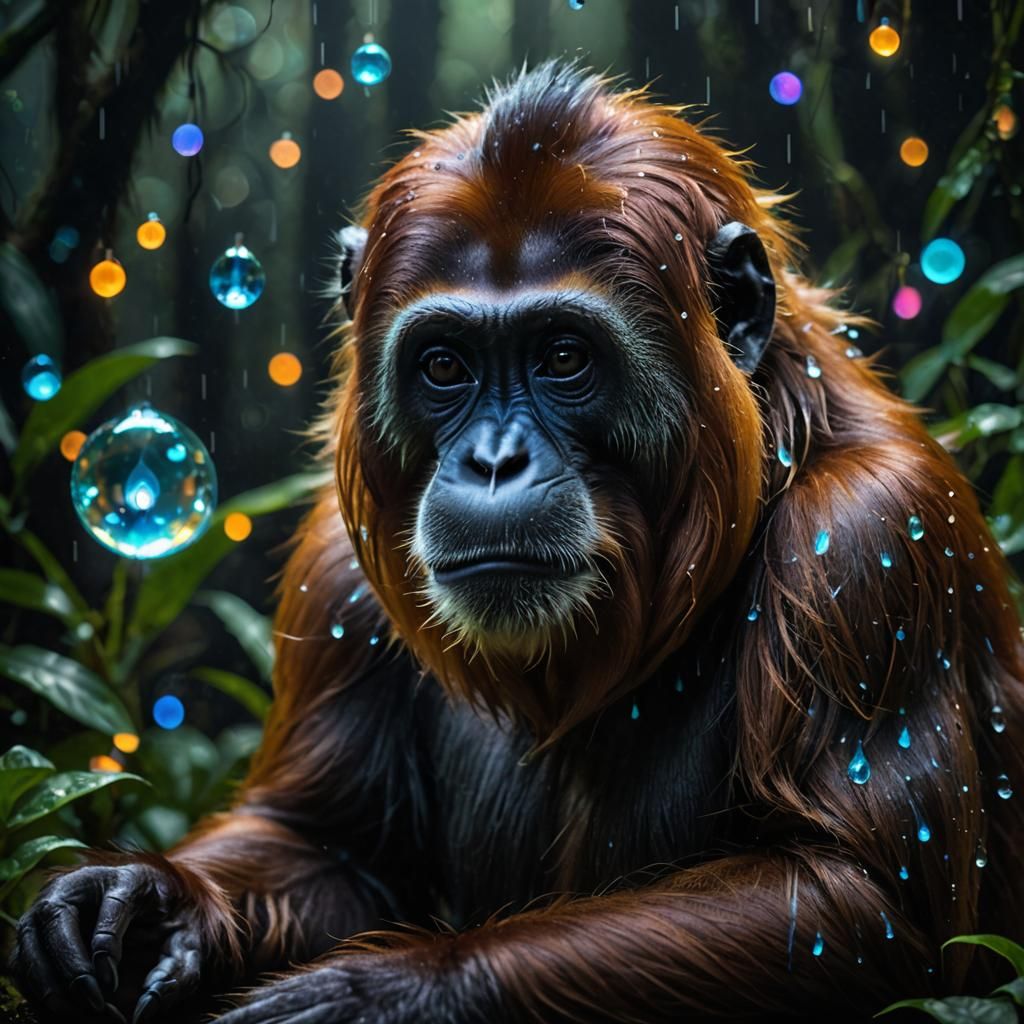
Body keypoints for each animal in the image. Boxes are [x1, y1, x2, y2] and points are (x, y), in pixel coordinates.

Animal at [11, 60, 1024, 1024]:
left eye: (563, 356)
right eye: (445, 366)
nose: (494, 460)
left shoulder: (870, 544)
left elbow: (857, 899)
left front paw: (386, 995)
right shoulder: (337, 576)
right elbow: (327, 845)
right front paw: (143, 899)